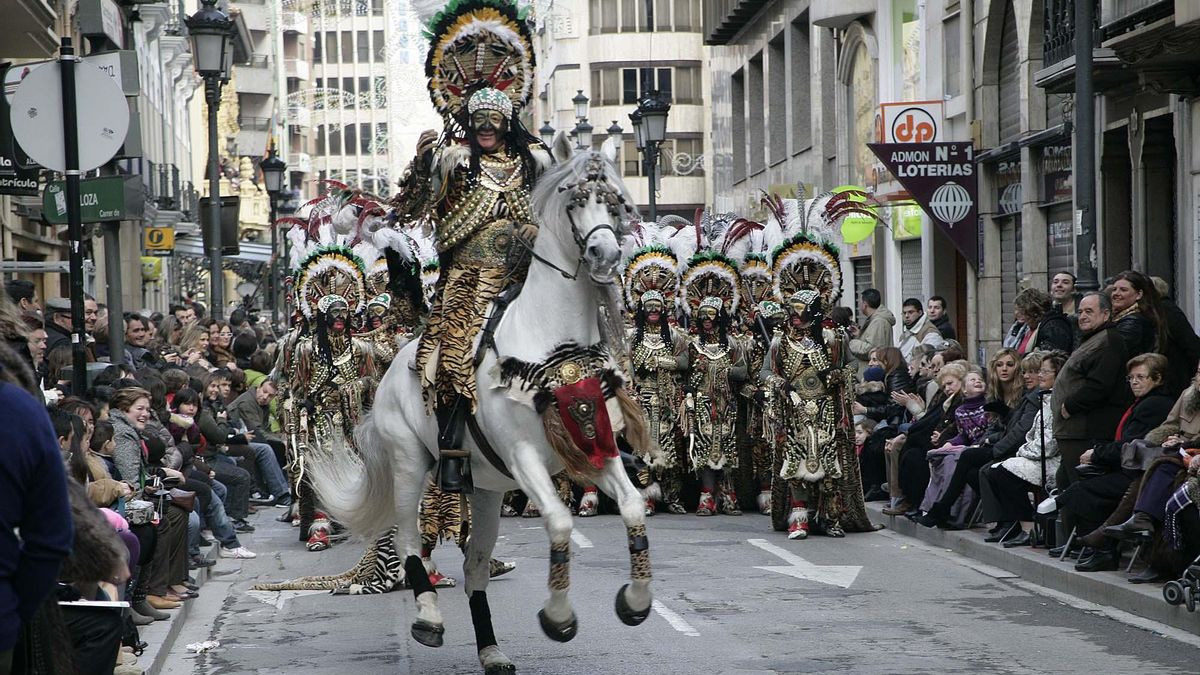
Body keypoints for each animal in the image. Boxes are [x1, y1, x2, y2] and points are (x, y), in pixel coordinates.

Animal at [304, 132, 652, 672]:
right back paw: (428, 617)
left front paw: (635, 603)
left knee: (476, 562)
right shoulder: (524, 456)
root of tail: (389, 373)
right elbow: (559, 520)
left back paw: (490, 649)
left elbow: (634, 506)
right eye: (574, 201)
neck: (551, 340)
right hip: (410, 463)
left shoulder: (595, 446)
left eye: (615, 202)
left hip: (485, 488)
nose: (603, 254)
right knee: (408, 540)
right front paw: (558, 618)